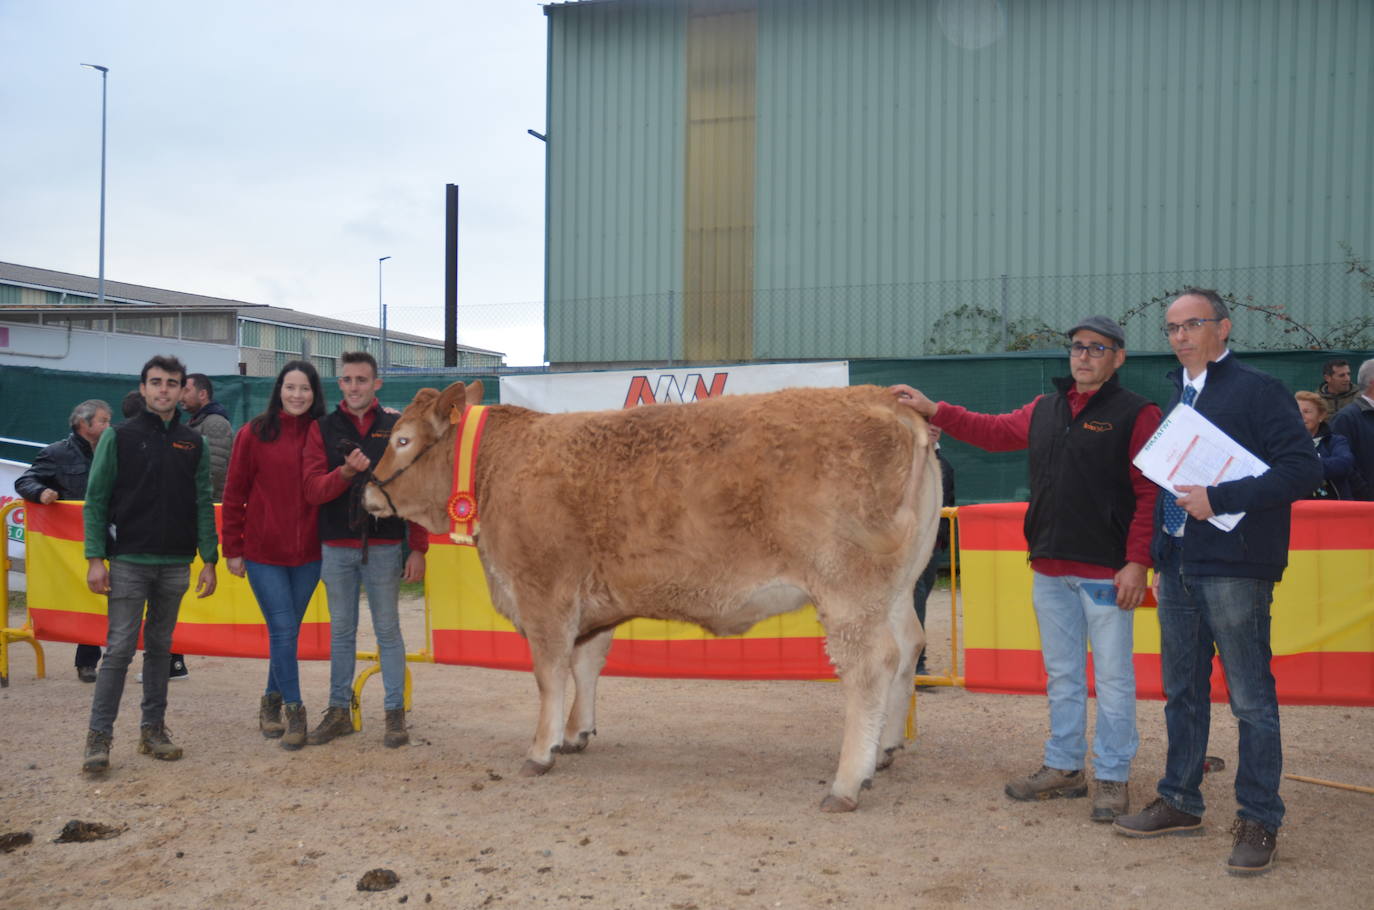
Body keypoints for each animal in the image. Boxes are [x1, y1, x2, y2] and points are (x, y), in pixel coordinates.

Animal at [365, 379, 945, 813]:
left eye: (401, 440)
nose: (368, 489)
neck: (496, 468)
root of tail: (886, 401)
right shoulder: (588, 599)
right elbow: (586, 663)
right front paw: (576, 732)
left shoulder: (543, 592)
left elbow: (550, 674)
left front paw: (540, 749)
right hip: (895, 589)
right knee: (909, 646)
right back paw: (885, 750)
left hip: (847, 586)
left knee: (872, 665)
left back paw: (847, 782)